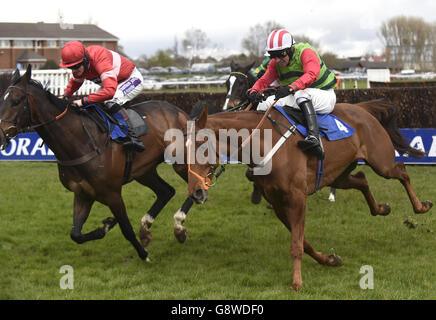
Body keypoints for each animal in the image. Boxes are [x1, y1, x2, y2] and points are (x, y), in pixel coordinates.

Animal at [0, 65, 192, 260]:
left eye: (16, 101)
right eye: (2, 100)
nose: (1, 135)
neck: (81, 141)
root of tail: (178, 110)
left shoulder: (112, 193)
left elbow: (126, 229)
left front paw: (143, 254)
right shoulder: (83, 193)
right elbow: (75, 234)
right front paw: (106, 226)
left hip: (181, 161)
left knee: (195, 187)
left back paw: (179, 225)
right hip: (144, 171)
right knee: (166, 191)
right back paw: (146, 228)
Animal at [186, 101, 432, 292]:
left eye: (201, 145)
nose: (196, 192)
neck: (264, 143)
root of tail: (362, 108)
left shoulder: (297, 198)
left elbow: (296, 244)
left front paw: (297, 282)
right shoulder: (277, 203)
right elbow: (303, 241)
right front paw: (329, 260)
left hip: (381, 162)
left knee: (401, 171)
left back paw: (421, 206)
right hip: (338, 175)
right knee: (362, 179)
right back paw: (381, 208)